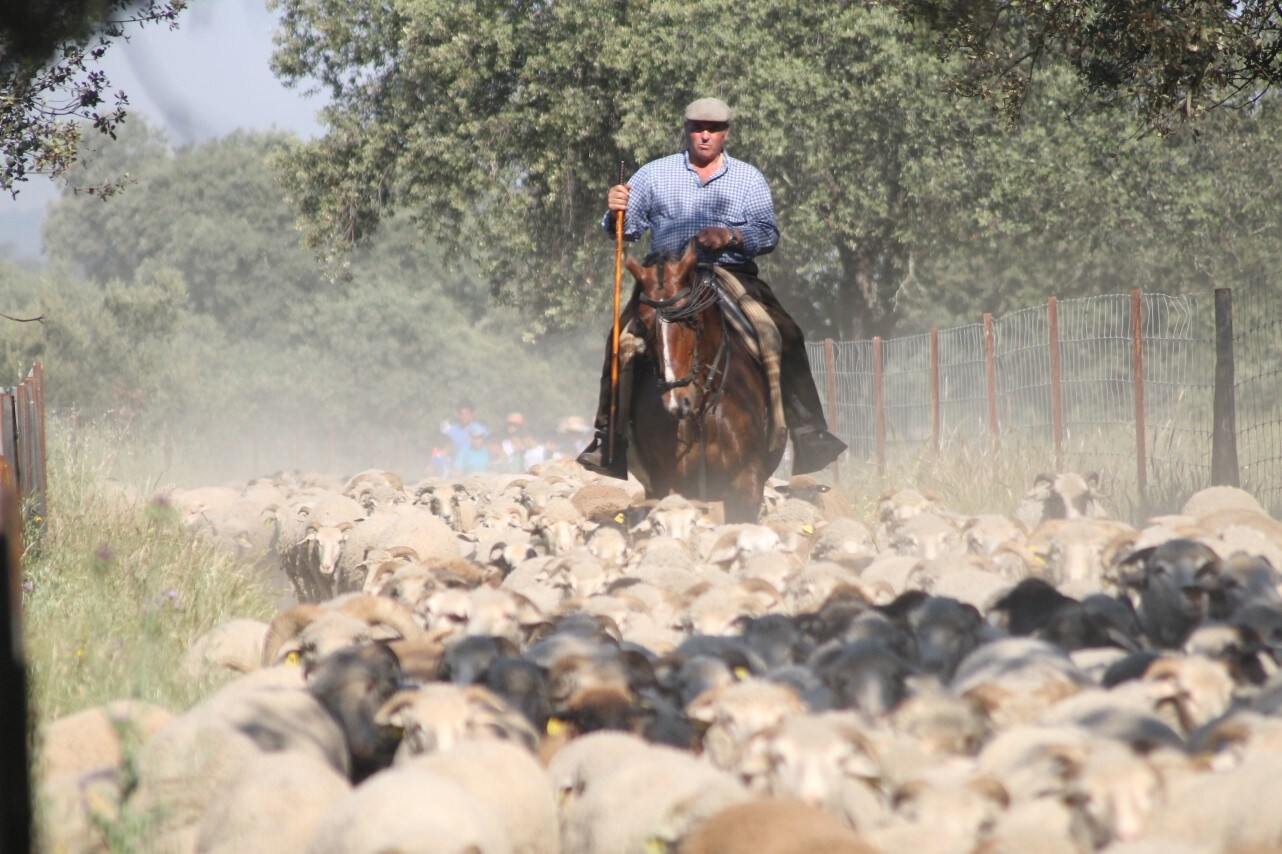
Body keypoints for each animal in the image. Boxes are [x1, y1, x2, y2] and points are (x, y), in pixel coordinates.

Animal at [620, 239, 779, 518]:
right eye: (642, 324)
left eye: (689, 317)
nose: (677, 401)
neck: (703, 410)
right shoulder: (669, 483)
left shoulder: (747, 477)